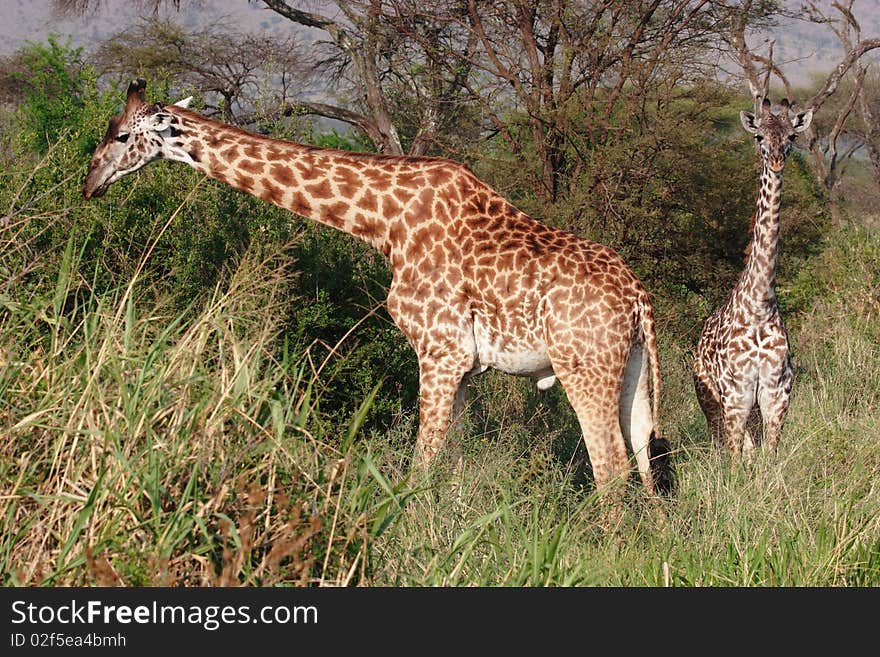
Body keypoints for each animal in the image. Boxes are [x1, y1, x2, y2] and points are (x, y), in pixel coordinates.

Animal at [84, 79, 672, 494]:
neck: (381, 223)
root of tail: (639, 299)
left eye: (121, 135)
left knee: (611, 468)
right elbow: (451, 465)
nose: (90, 183)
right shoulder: (463, 366)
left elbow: (422, 465)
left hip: (583, 365)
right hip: (631, 369)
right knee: (646, 456)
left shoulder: (440, 351)